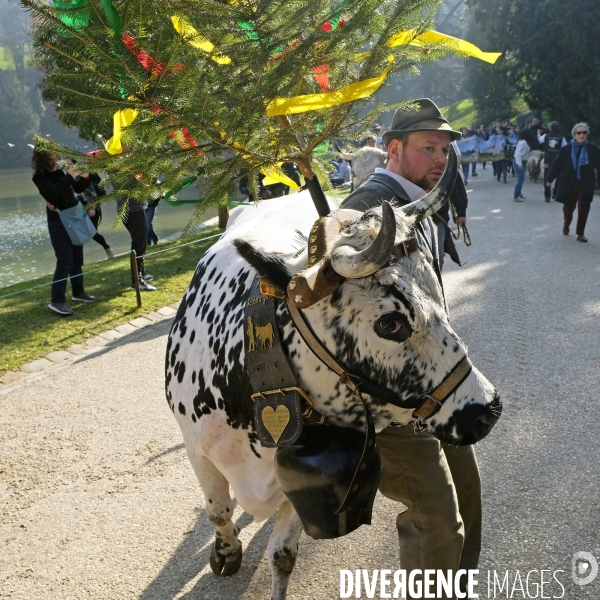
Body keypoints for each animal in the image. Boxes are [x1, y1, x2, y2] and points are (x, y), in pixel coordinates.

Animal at [165, 156, 502, 600]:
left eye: (439, 293)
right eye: (391, 323)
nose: (489, 409)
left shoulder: (297, 487)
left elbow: (281, 554)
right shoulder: (196, 450)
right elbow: (218, 511)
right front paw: (225, 552)